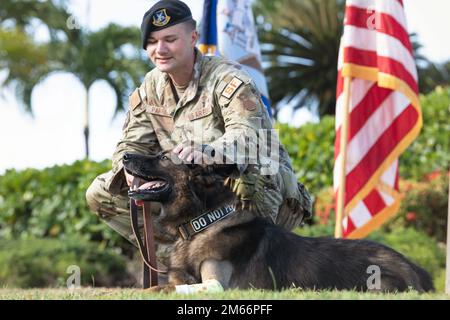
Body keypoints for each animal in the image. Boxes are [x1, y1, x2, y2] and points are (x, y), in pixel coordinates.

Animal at [122, 152, 432, 292]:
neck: (203, 223)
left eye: (163, 157)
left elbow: (163, 288)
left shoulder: (218, 285)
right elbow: (166, 284)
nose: (125, 155)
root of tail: (416, 268)